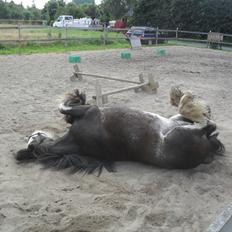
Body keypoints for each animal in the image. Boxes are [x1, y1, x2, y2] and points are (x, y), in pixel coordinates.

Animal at [14, 89, 225, 174]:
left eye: (31, 136)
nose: (35, 133)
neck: (75, 142)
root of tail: (208, 153)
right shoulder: (90, 110)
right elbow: (62, 107)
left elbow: (65, 110)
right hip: (180, 131)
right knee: (208, 125)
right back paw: (194, 106)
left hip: (177, 122)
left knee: (200, 121)